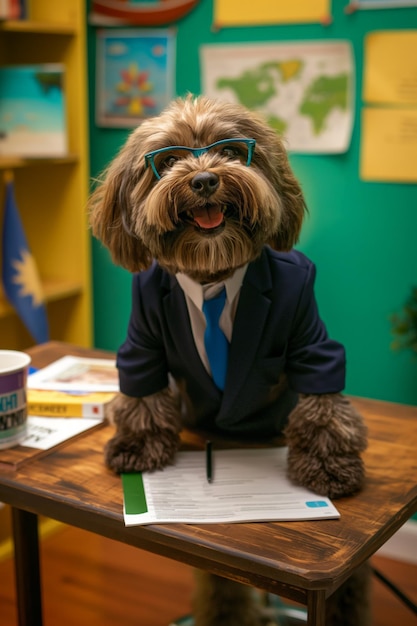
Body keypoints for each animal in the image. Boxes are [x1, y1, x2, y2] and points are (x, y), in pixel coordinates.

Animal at [90, 94, 368, 624]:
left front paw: (327, 465)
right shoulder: (141, 338)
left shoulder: (310, 334)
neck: (213, 275)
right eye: (169, 161)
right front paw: (138, 444)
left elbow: (324, 404)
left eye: (232, 151)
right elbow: (142, 394)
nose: (203, 180)